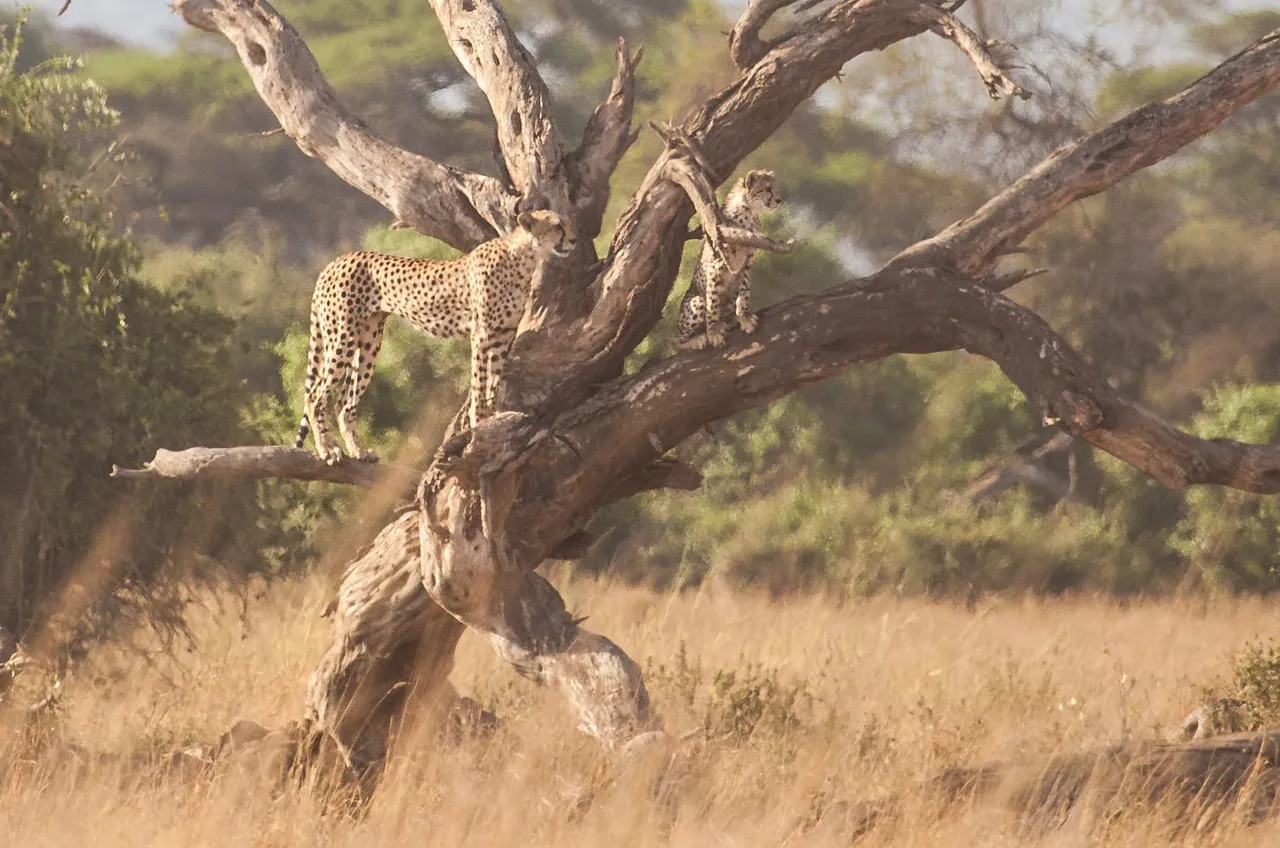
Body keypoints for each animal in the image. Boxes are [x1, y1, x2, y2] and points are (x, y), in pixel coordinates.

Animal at [294, 211, 576, 466]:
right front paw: (478, 423)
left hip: (369, 342)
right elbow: (479, 384)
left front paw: (490, 422)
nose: (573, 240)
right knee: (315, 396)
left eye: (566, 223)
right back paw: (328, 449)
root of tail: (336, 261)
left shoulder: (501, 338)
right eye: (558, 226)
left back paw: (358, 451)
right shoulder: (481, 335)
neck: (525, 258)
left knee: (344, 403)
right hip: (341, 336)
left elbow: (493, 386)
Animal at [680, 171, 778, 350]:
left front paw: (744, 318)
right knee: (676, 341)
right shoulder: (715, 268)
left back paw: (729, 321)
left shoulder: (746, 264)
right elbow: (712, 306)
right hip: (697, 301)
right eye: (767, 188)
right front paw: (712, 334)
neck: (749, 213)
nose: (779, 200)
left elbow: (744, 293)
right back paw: (698, 339)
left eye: (776, 187)